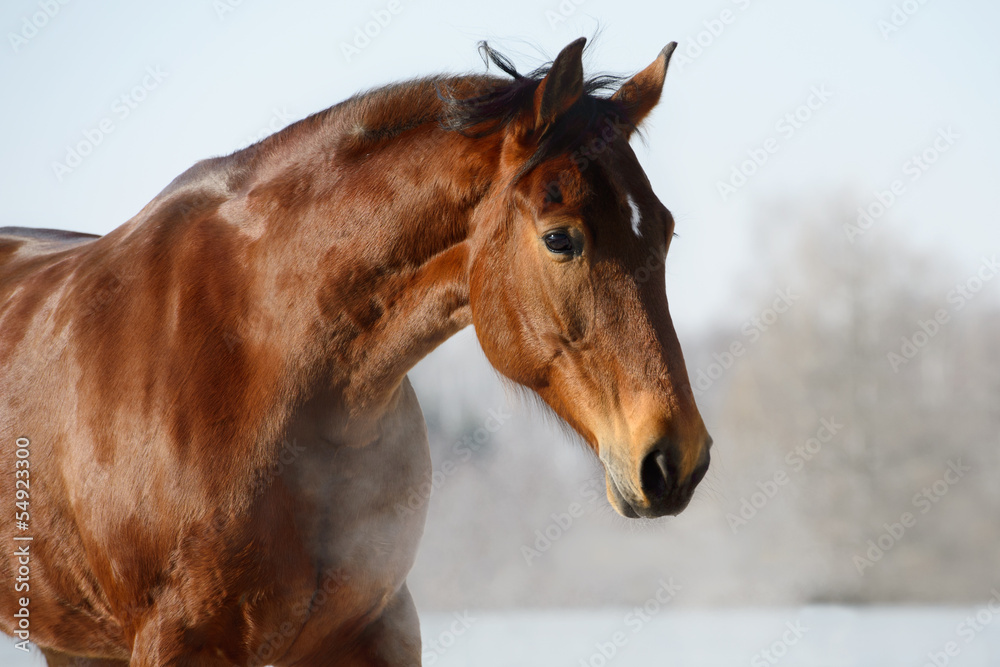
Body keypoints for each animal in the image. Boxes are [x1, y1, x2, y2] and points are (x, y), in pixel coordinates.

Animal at [0, 39, 712, 664]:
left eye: (667, 230)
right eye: (561, 238)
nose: (675, 457)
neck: (255, 358)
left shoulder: (376, 628)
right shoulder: (174, 642)